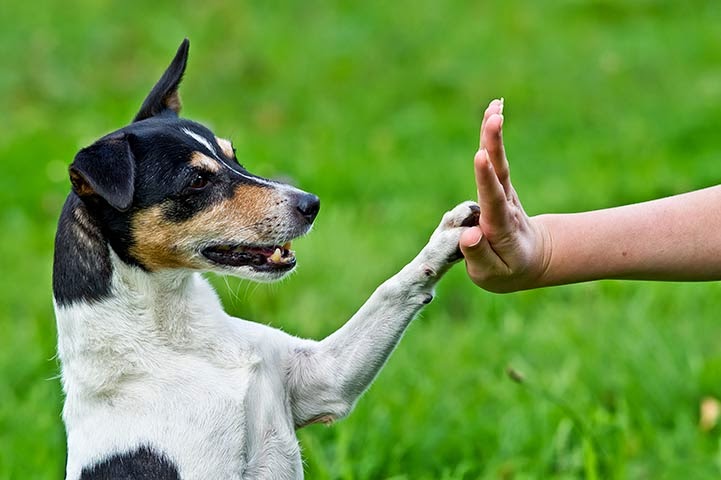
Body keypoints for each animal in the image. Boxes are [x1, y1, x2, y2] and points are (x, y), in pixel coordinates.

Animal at [53, 38, 480, 480]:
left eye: (233, 156)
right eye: (197, 180)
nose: (311, 204)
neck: (178, 339)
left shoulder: (324, 378)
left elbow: (391, 290)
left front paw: (448, 236)